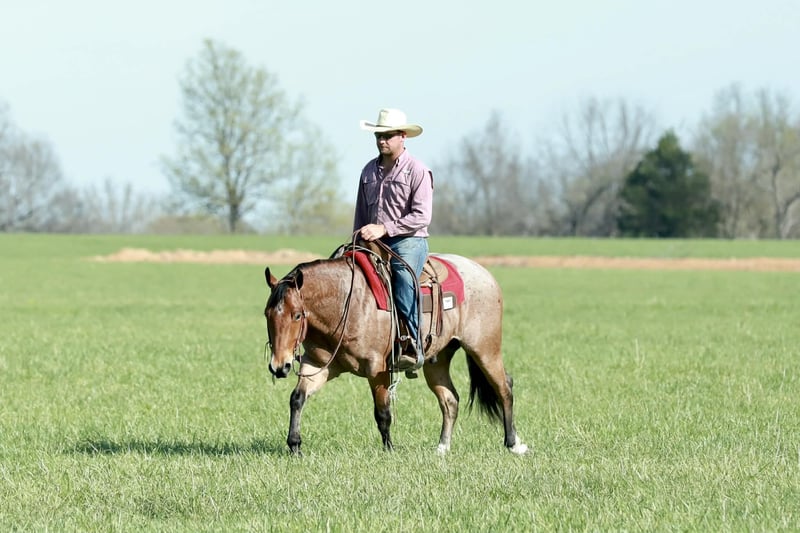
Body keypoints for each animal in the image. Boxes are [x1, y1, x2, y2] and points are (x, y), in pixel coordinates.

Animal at [263, 251, 528, 455]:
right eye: (267, 314)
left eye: (297, 315)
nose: (279, 366)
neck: (347, 303)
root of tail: (484, 273)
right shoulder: (318, 365)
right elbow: (297, 398)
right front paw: (294, 444)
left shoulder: (377, 369)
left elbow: (382, 412)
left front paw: (389, 449)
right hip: (438, 360)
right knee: (450, 399)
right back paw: (442, 447)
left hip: (485, 349)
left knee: (504, 387)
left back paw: (513, 443)